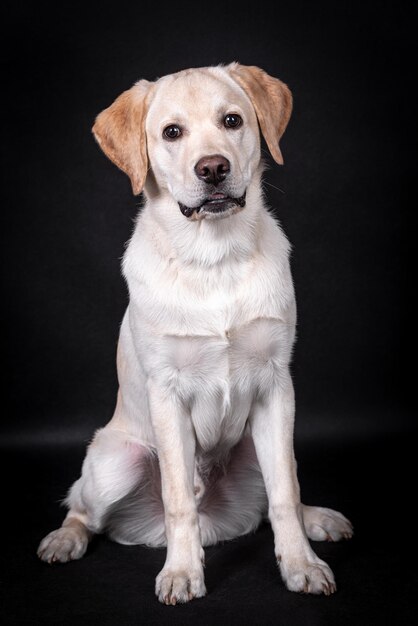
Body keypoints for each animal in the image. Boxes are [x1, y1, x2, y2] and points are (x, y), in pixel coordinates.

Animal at [36, 62, 352, 600]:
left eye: (232, 120)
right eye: (171, 132)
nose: (213, 168)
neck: (214, 257)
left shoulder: (276, 386)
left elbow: (285, 493)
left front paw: (301, 564)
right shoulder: (167, 393)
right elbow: (179, 496)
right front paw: (183, 572)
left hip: (257, 445)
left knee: (279, 494)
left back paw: (318, 520)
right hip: (115, 461)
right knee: (82, 509)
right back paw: (65, 540)